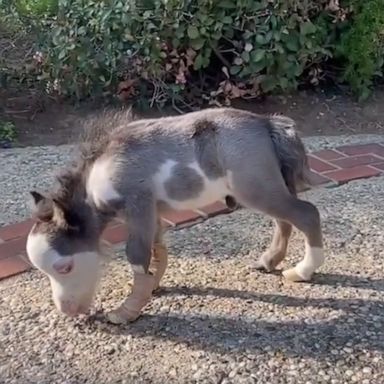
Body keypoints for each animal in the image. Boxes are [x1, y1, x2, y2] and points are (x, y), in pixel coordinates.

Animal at [25, 108, 322, 324]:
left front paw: (126, 311)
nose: (67, 310)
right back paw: (268, 261)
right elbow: (157, 248)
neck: (98, 174)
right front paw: (152, 287)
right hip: (267, 188)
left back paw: (302, 271)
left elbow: (137, 254)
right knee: (284, 220)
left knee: (307, 214)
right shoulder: (153, 212)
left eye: (65, 267)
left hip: (256, 190)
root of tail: (267, 123)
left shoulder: (139, 205)